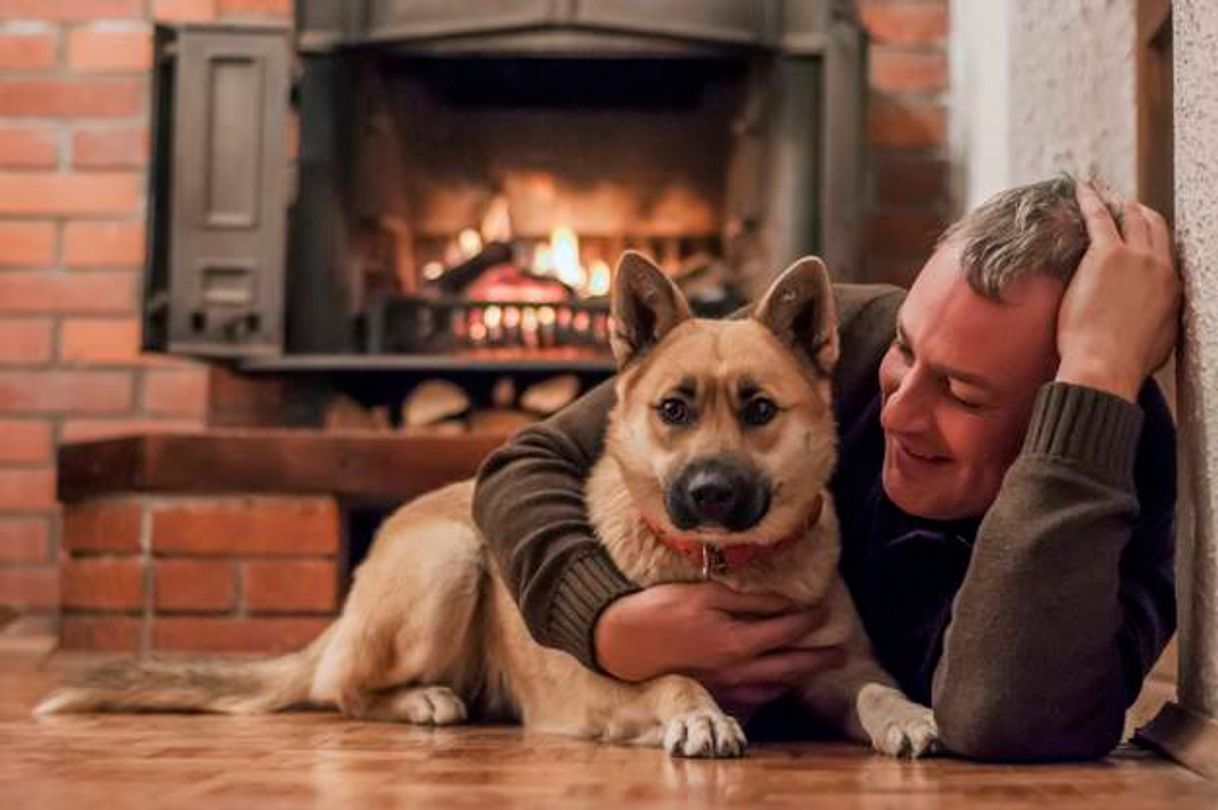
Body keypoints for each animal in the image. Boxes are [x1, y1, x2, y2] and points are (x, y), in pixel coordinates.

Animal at [35, 253, 930, 760]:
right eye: (673, 410)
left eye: (759, 409)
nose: (709, 492)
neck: (721, 568)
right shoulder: (608, 682)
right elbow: (674, 677)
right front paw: (700, 715)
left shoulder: (841, 670)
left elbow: (874, 690)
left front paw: (906, 715)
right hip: (453, 559)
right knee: (345, 691)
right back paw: (424, 700)